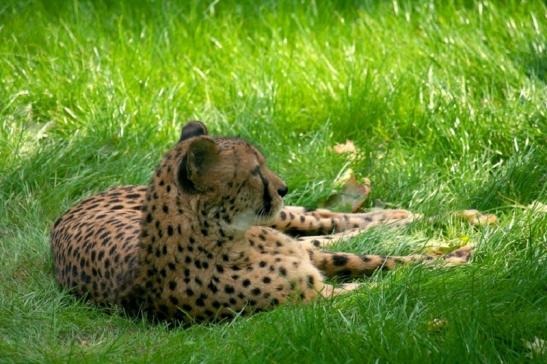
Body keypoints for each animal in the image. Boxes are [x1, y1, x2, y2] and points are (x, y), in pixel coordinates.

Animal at [51, 123, 470, 324]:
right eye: (254, 171)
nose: (283, 187)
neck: (226, 238)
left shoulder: (307, 263)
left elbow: (378, 260)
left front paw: (454, 253)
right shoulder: (315, 299)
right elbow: (388, 279)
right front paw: (456, 262)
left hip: (286, 220)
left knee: (331, 221)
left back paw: (441, 216)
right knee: (333, 231)